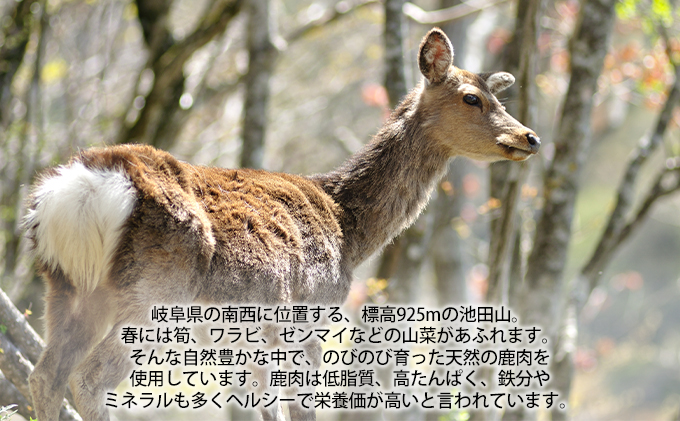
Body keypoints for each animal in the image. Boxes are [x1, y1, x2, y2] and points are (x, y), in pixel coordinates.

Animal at [23, 28, 539, 421]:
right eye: (471, 98)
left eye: (497, 97)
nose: (529, 136)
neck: (350, 230)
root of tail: (85, 188)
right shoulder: (310, 308)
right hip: (159, 287)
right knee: (88, 377)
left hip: (67, 286)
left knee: (46, 375)